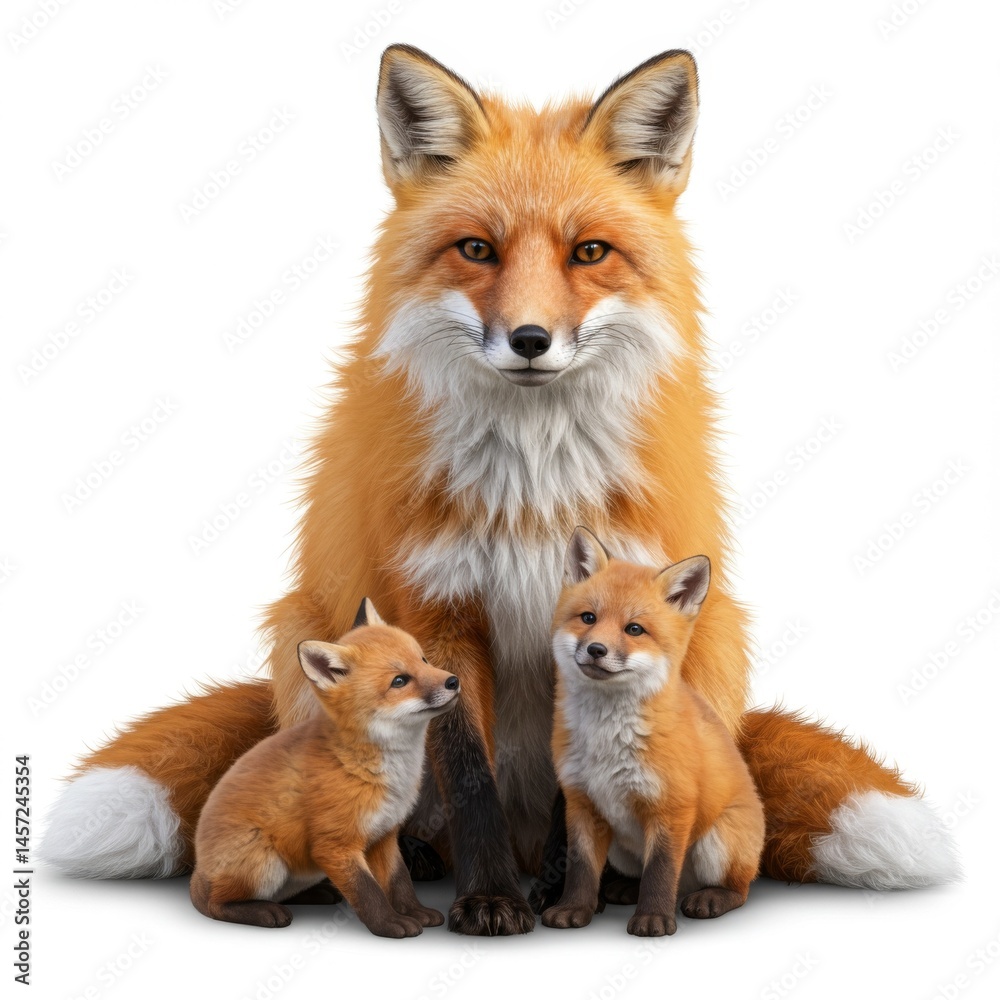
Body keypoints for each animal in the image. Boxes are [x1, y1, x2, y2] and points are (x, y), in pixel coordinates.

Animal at [190, 598, 457, 936]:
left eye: (423, 659)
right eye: (399, 681)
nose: (454, 681)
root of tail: (198, 869)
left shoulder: (385, 835)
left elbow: (400, 882)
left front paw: (416, 912)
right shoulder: (335, 846)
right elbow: (368, 891)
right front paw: (390, 924)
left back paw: (315, 895)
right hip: (266, 863)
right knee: (214, 904)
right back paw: (263, 911)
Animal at [542, 528, 764, 936]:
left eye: (634, 629)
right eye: (588, 618)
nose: (596, 649)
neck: (607, 736)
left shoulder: (672, 807)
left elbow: (660, 871)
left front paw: (653, 919)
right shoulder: (581, 803)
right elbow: (581, 868)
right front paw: (573, 909)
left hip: (715, 845)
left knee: (737, 889)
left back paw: (711, 898)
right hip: (621, 849)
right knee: (641, 874)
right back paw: (625, 889)